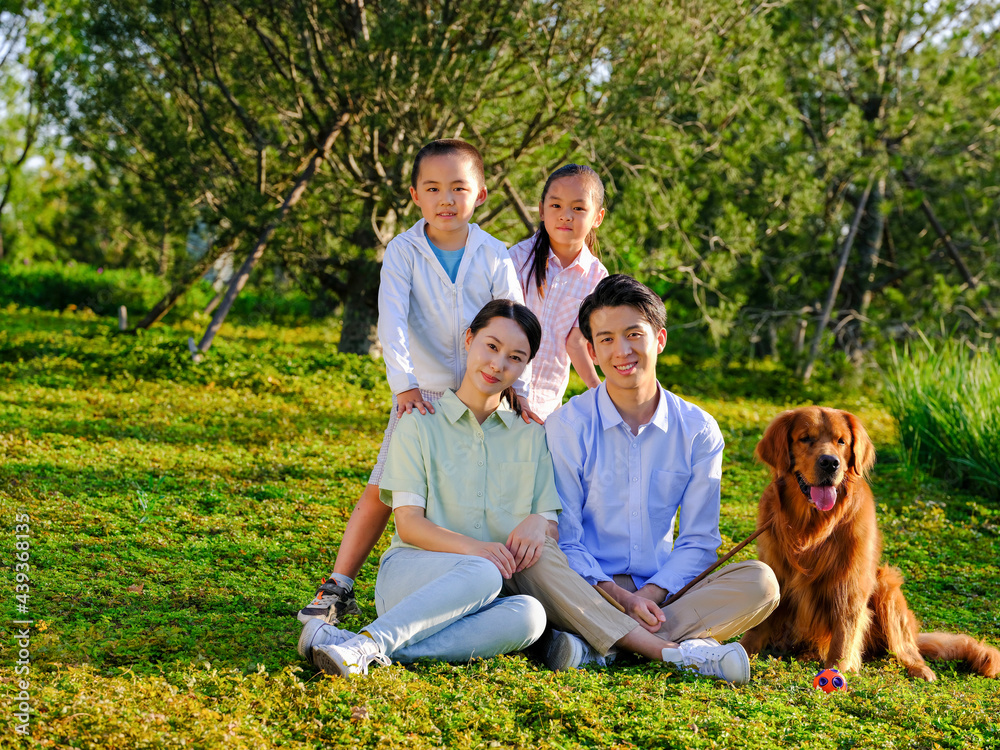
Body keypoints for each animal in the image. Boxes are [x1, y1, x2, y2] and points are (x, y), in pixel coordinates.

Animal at [744, 408, 1000, 684]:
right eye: (805, 438)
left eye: (841, 441)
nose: (830, 463)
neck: (813, 528)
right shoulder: (776, 571)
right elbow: (758, 623)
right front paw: (741, 649)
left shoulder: (851, 582)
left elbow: (844, 633)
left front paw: (838, 669)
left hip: (887, 585)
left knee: (906, 648)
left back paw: (920, 669)